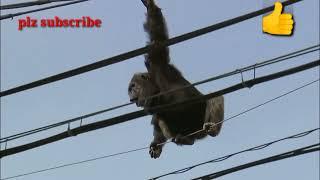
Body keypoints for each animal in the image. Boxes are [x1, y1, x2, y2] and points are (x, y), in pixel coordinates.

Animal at [128, 0, 225, 159]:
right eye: (129, 90)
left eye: (133, 87)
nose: (131, 96)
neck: (157, 87)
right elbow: (156, 124)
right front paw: (155, 145)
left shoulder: (158, 64)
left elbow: (157, 37)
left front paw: (149, 4)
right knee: (162, 119)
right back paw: (185, 140)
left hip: (200, 125)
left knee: (215, 97)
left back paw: (213, 128)